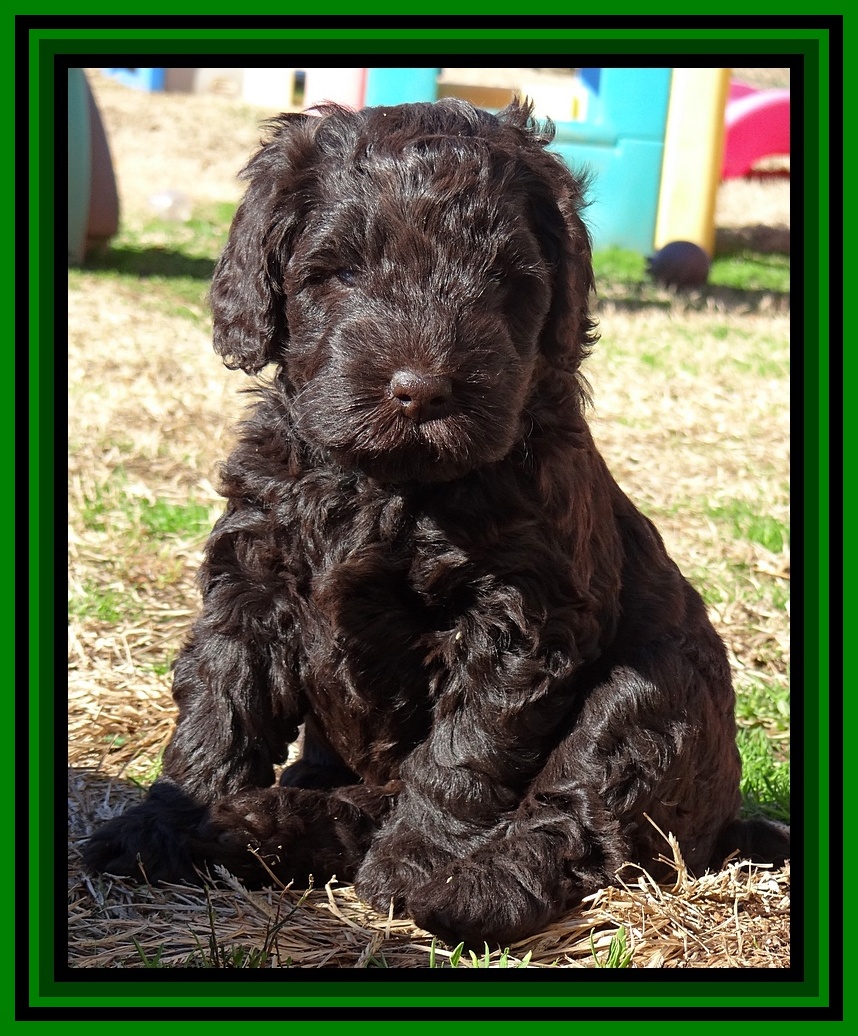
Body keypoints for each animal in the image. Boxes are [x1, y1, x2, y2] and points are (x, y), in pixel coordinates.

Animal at [84, 98, 789, 948]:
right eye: (340, 271)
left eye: (504, 281)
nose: (421, 389)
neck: (386, 483)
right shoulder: (252, 585)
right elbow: (219, 705)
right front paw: (165, 822)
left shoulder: (518, 615)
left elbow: (465, 751)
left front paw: (415, 862)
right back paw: (258, 826)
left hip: (654, 693)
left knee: (580, 805)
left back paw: (465, 890)